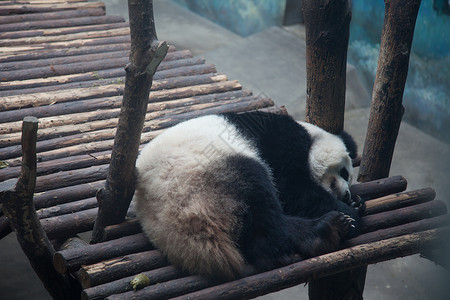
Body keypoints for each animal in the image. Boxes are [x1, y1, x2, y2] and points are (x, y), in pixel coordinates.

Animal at [132, 111, 364, 280]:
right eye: (345, 172)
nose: (346, 194)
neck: (312, 135)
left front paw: (357, 204)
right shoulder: (281, 141)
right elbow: (294, 190)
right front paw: (352, 213)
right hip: (200, 179)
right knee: (261, 206)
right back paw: (324, 230)